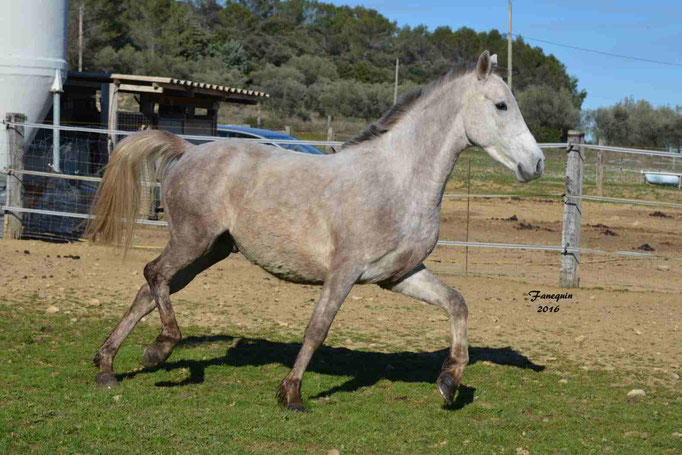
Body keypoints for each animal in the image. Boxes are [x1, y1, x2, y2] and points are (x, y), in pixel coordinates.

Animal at [87, 50, 540, 414]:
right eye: (501, 105)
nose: (536, 164)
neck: (396, 180)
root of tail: (188, 150)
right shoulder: (344, 271)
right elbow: (317, 328)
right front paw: (291, 394)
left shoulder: (399, 275)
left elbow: (457, 303)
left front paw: (449, 383)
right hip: (191, 240)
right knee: (152, 274)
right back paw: (158, 348)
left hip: (209, 251)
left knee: (150, 290)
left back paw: (109, 367)